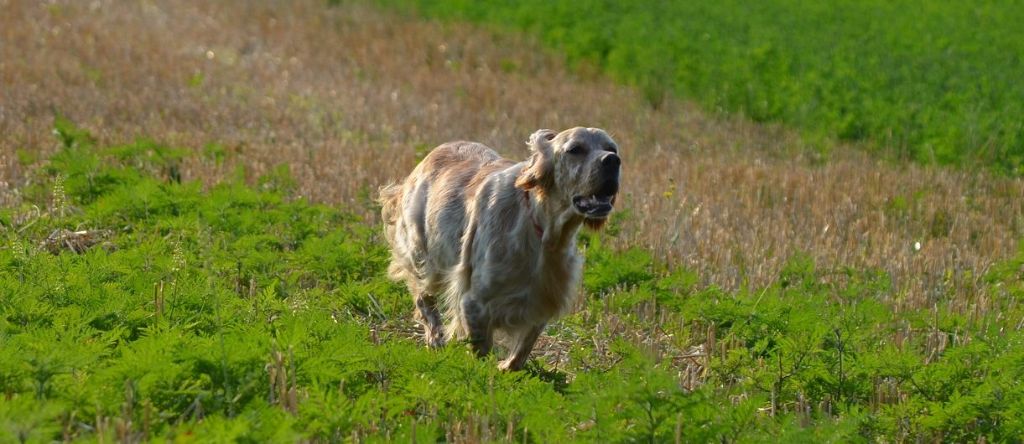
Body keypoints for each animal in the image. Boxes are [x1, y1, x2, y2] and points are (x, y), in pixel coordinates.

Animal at [380, 126, 618, 370]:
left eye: (612, 148)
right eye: (575, 149)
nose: (612, 160)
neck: (543, 230)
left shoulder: (542, 297)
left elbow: (524, 346)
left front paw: (507, 367)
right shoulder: (474, 301)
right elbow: (480, 350)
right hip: (422, 257)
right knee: (424, 299)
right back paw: (435, 340)